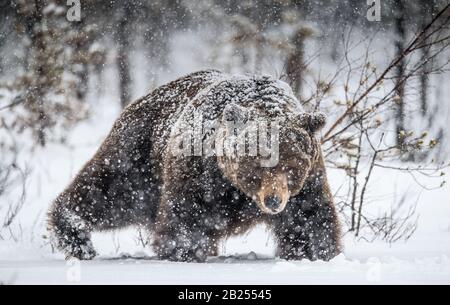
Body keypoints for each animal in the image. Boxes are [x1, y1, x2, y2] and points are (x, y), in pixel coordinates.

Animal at [48, 70, 342, 260]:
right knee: (107, 191)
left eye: (291, 167)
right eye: (257, 166)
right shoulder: (198, 169)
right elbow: (186, 215)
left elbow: (311, 218)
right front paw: (186, 251)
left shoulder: (310, 178)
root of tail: (141, 99)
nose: (273, 201)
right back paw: (75, 235)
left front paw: (317, 252)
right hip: (139, 155)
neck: (237, 190)